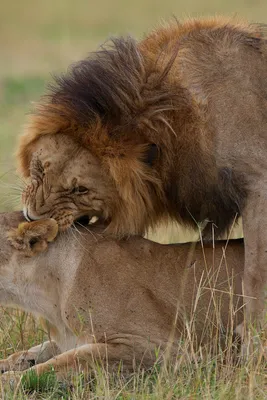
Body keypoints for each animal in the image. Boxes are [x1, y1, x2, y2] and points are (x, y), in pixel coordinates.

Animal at [17, 18, 267, 340]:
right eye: (39, 169)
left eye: (80, 190)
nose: (30, 219)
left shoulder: (258, 183)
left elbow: (255, 273)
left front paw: (252, 336)